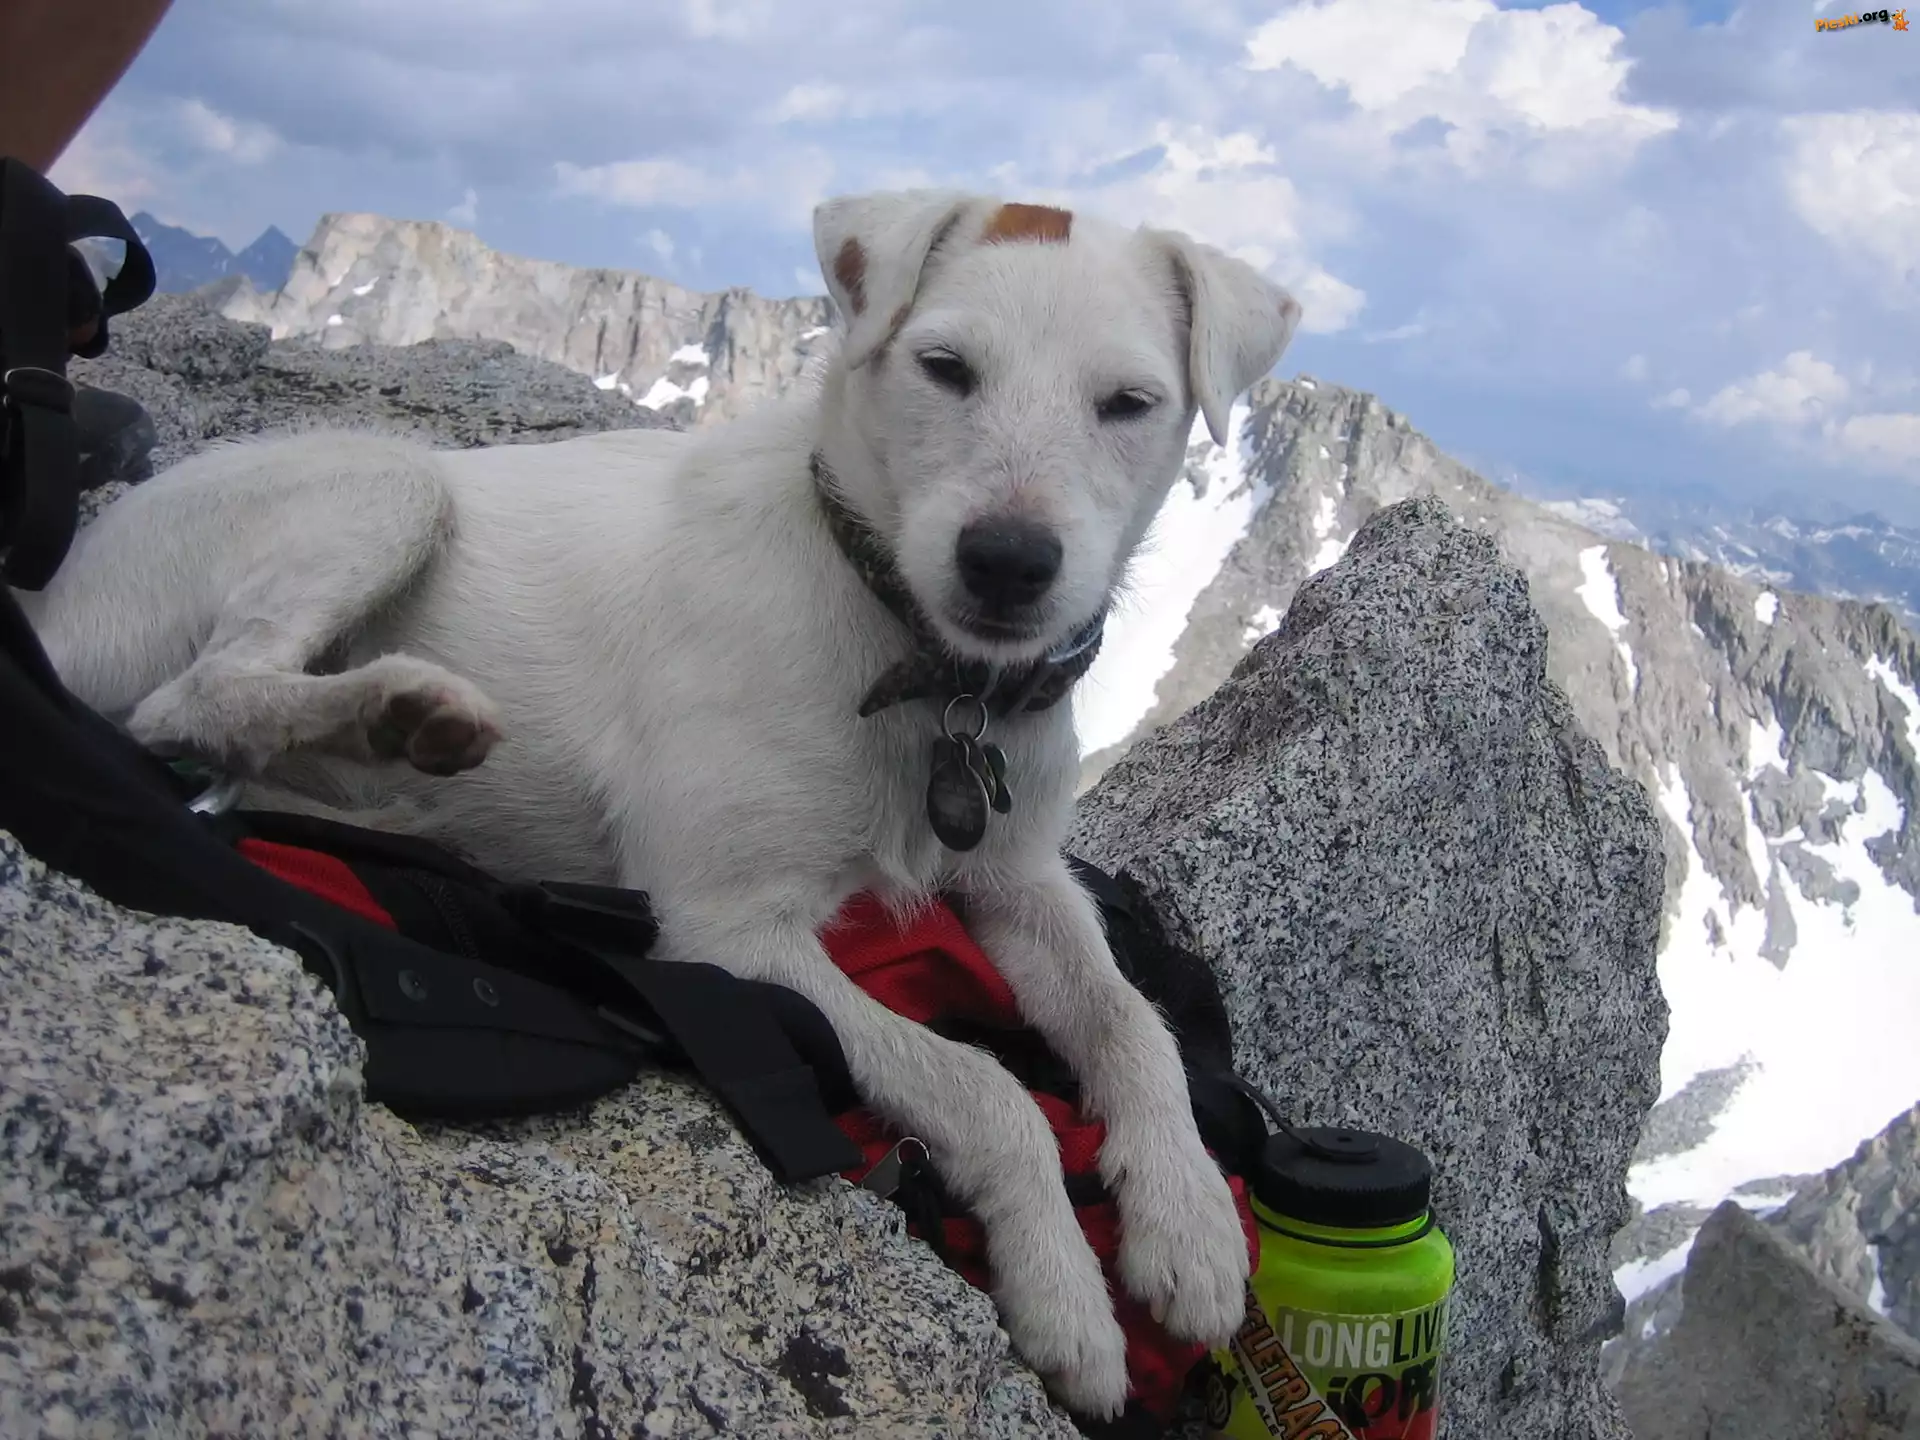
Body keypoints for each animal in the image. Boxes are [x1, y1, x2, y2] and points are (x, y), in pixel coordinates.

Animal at [20, 188, 1301, 1418]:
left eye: (1129, 402)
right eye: (945, 369)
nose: (1008, 562)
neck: (907, 657)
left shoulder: (1019, 878)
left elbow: (1130, 1022)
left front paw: (1187, 1219)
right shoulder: (729, 932)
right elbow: (980, 1085)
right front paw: (1061, 1290)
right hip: (384, 483)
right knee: (190, 700)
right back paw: (401, 714)